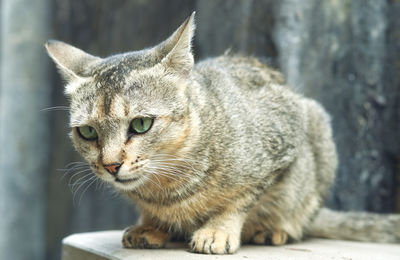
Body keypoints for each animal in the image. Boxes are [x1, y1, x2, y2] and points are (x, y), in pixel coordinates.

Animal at [44, 12, 400, 254]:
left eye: (141, 124)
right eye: (87, 132)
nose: (111, 165)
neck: (167, 188)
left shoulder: (282, 144)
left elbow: (240, 200)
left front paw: (217, 231)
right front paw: (152, 226)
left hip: (318, 132)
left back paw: (274, 230)